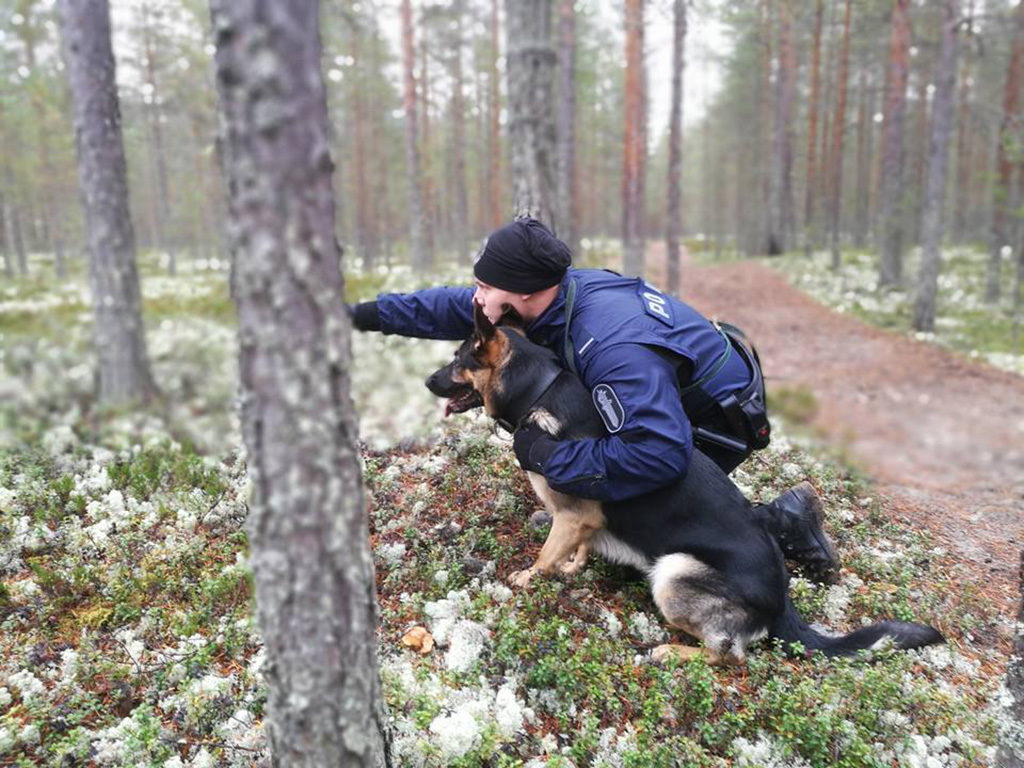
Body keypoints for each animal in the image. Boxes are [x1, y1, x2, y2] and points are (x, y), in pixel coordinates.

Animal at [423, 303, 942, 663]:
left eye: (457, 359)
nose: (428, 382)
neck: (540, 388)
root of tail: (781, 604)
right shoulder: (585, 521)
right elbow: (579, 549)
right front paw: (574, 567)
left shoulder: (572, 515)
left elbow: (544, 557)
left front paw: (531, 578)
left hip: (673, 573)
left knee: (730, 656)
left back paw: (673, 652)